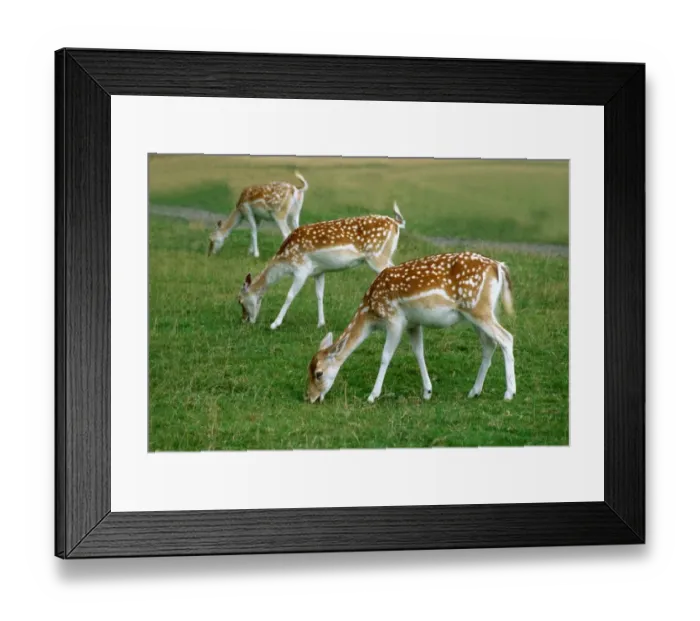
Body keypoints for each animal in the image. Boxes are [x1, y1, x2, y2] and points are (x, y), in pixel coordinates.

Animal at [237, 203, 407, 331]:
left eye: (240, 301)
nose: (245, 320)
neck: (285, 260)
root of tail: (396, 224)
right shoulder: (318, 271)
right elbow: (319, 295)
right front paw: (321, 323)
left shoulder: (301, 269)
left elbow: (290, 295)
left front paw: (275, 324)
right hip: (384, 256)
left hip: (377, 256)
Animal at [306, 251, 516, 404]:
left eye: (318, 374)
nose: (309, 397)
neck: (370, 313)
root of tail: (498, 266)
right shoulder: (413, 324)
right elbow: (418, 352)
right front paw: (427, 391)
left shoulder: (394, 320)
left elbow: (385, 356)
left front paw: (372, 395)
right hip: (480, 313)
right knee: (489, 345)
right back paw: (474, 391)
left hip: (478, 309)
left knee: (506, 337)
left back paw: (509, 393)